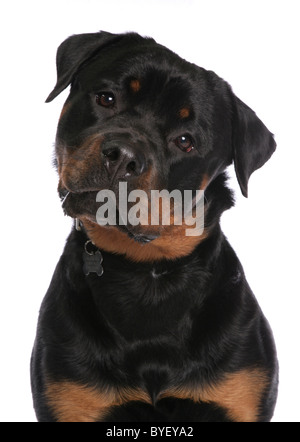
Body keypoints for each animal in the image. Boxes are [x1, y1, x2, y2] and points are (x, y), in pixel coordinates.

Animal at [31, 31, 278, 422]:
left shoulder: (239, 394)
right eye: (106, 98)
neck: (148, 269)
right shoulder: (71, 398)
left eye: (185, 141)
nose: (123, 156)